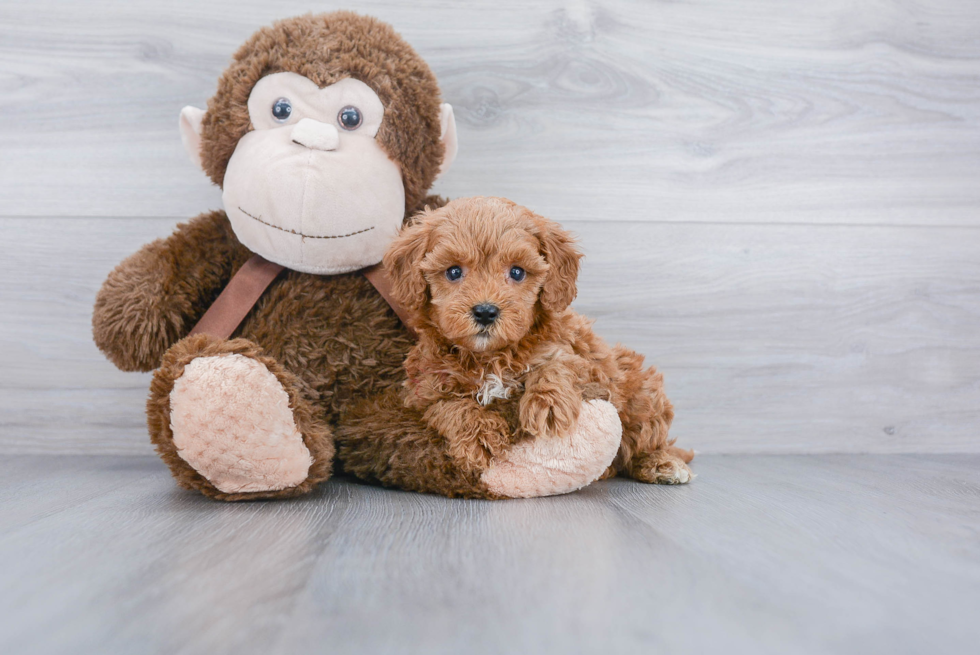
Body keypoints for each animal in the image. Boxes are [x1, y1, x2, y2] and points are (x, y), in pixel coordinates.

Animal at [384, 197, 696, 484]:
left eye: (517, 272)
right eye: (453, 271)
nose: (485, 311)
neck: (490, 357)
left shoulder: (585, 364)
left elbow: (557, 364)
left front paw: (548, 406)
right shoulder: (423, 392)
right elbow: (450, 406)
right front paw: (480, 437)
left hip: (641, 392)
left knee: (646, 439)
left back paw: (662, 464)